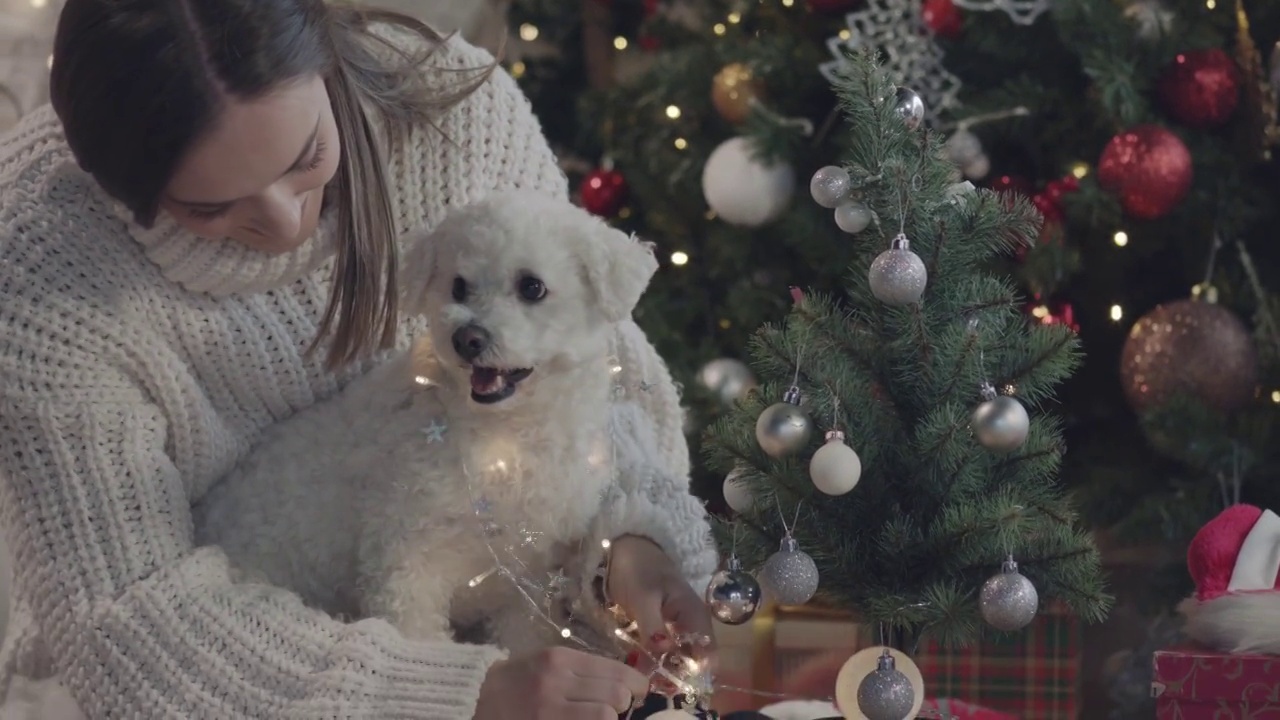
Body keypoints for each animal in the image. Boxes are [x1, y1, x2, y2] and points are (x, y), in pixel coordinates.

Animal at [197, 189, 670, 650]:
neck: (506, 444)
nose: (467, 338)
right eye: (458, 286)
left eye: (532, 287)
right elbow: (417, 633)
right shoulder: (406, 562)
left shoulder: (531, 585)